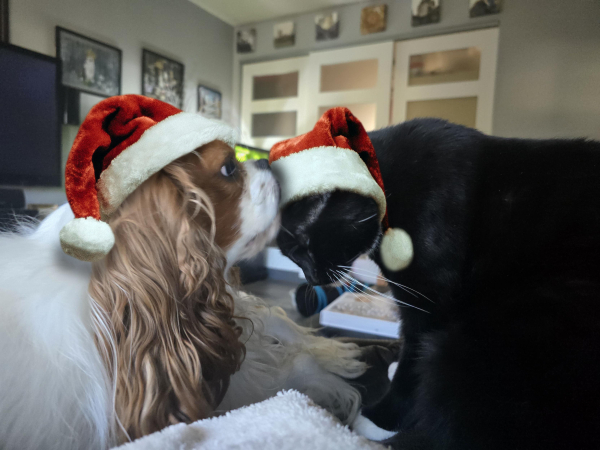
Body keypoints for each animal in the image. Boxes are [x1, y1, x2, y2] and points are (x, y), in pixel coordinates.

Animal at [0, 141, 366, 450]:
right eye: (229, 167)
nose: (265, 159)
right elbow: (288, 373)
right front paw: (336, 381)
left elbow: (276, 322)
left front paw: (333, 350)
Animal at [278, 119, 600, 450]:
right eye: (290, 255)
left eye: (303, 246)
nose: (313, 279)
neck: (386, 182)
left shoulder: (430, 302)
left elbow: (413, 355)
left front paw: (381, 418)